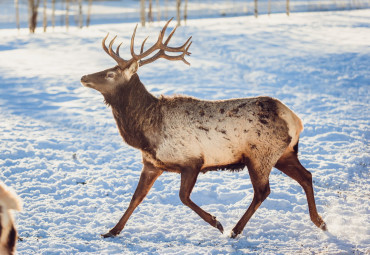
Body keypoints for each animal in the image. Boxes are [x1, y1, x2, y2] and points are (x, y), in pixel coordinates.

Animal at [81, 18, 326, 239]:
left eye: (110, 74)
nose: (84, 77)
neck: (145, 134)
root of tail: (295, 119)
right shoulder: (152, 164)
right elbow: (136, 198)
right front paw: (111, 231)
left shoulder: (192, 161)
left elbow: (183, 197)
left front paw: (216, 222)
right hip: (283, 153)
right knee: (306, 176)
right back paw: (320, 221)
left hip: (260, 155)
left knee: (263, 191)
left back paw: (235, 230)